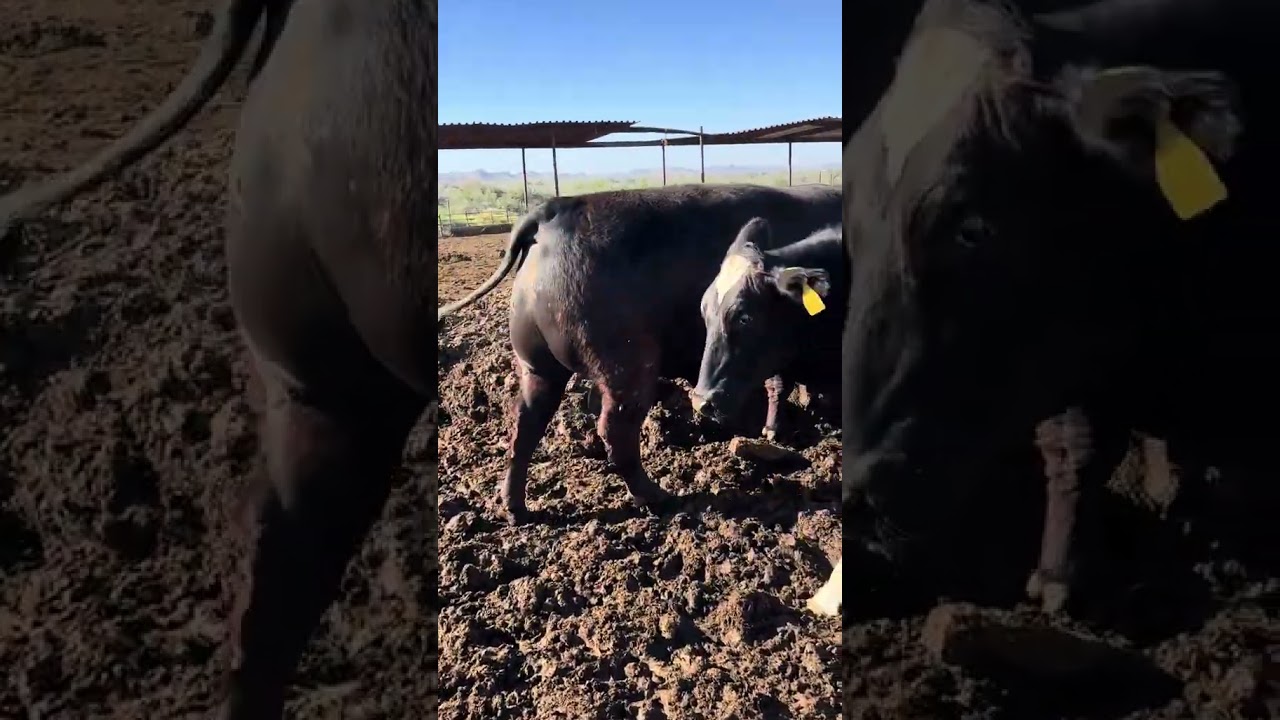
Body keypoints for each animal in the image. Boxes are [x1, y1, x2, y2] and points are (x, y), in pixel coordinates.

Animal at [438, 184, 842, 525]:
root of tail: (555, 210)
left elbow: (780, 383)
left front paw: (776, 427)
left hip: (537, 367)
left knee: (524, 424)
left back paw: (515, 508)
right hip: (628, 367)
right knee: (615, 431)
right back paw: (656, 497)